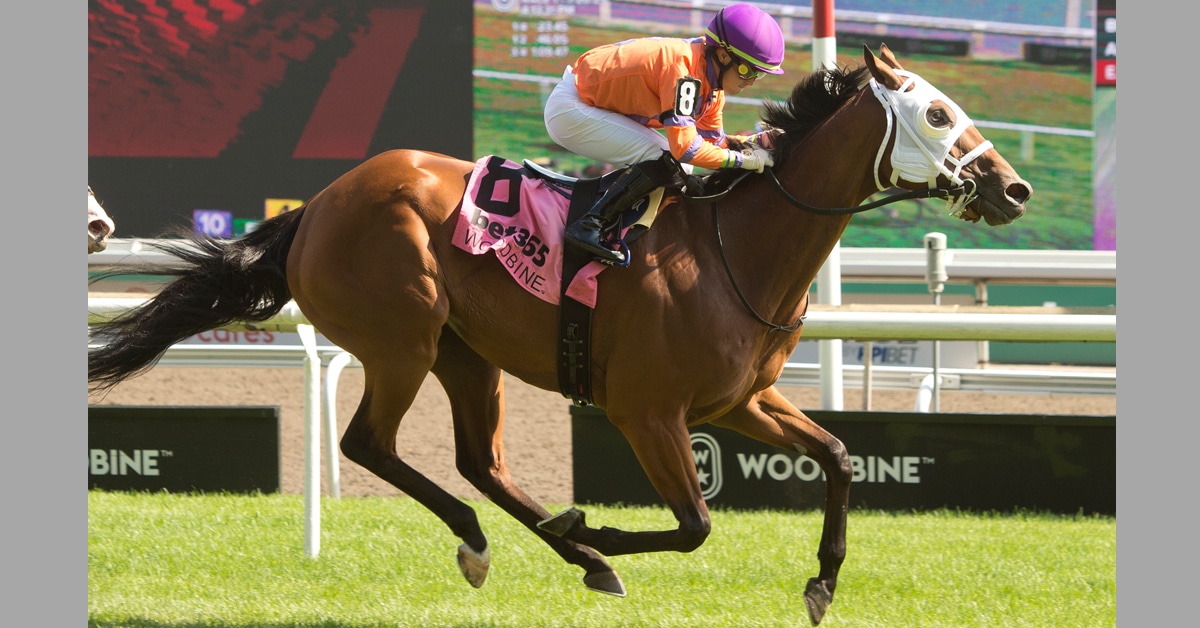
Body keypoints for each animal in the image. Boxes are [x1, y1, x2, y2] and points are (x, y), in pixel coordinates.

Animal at [88, 45, 1029, 625]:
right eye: (937, 115)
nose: (1013, 189)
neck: (738, 248)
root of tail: (317, 205)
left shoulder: (740, 401)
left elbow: (836, 456)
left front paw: (823, 582)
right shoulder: (647, 412)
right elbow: (695, 524)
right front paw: (604, 533)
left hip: (468, 354)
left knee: (481, 461)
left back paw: (566, 550)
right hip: (404, 341)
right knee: (369, 445)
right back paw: (510, 542)